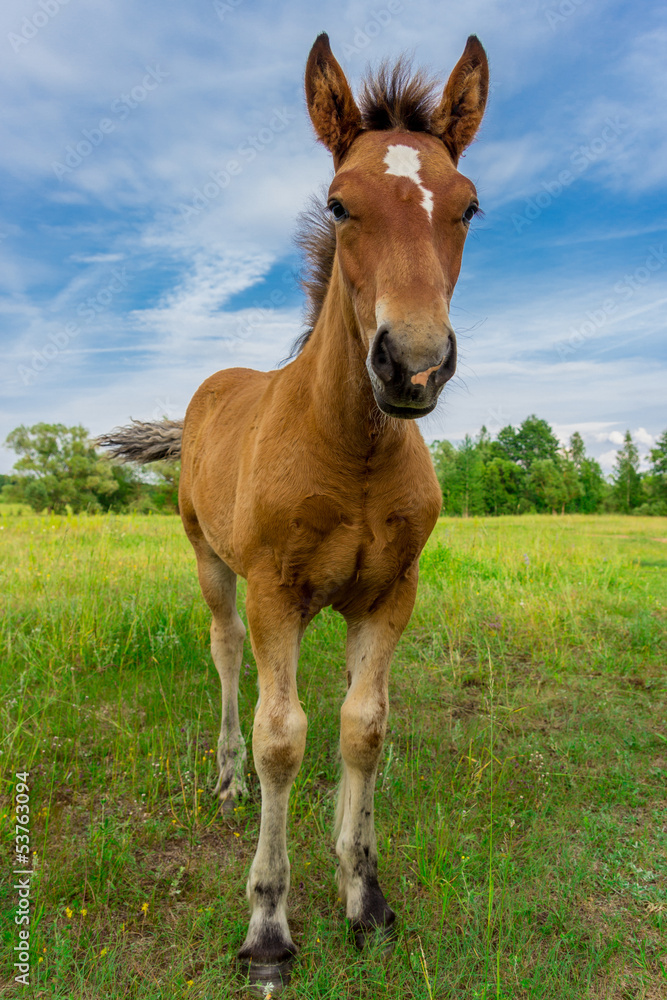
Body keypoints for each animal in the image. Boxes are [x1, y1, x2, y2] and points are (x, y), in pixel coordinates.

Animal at [99, 32, 488, 992]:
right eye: (339, 204)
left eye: (469, 207)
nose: (411, 365)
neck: (351, 450)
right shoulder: (276, 589)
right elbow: (282, 737)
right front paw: (268, 927)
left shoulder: (389, 595)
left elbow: (362, 728)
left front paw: (364, 896)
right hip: (212, 563)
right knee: (228, 656)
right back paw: (227, 780)